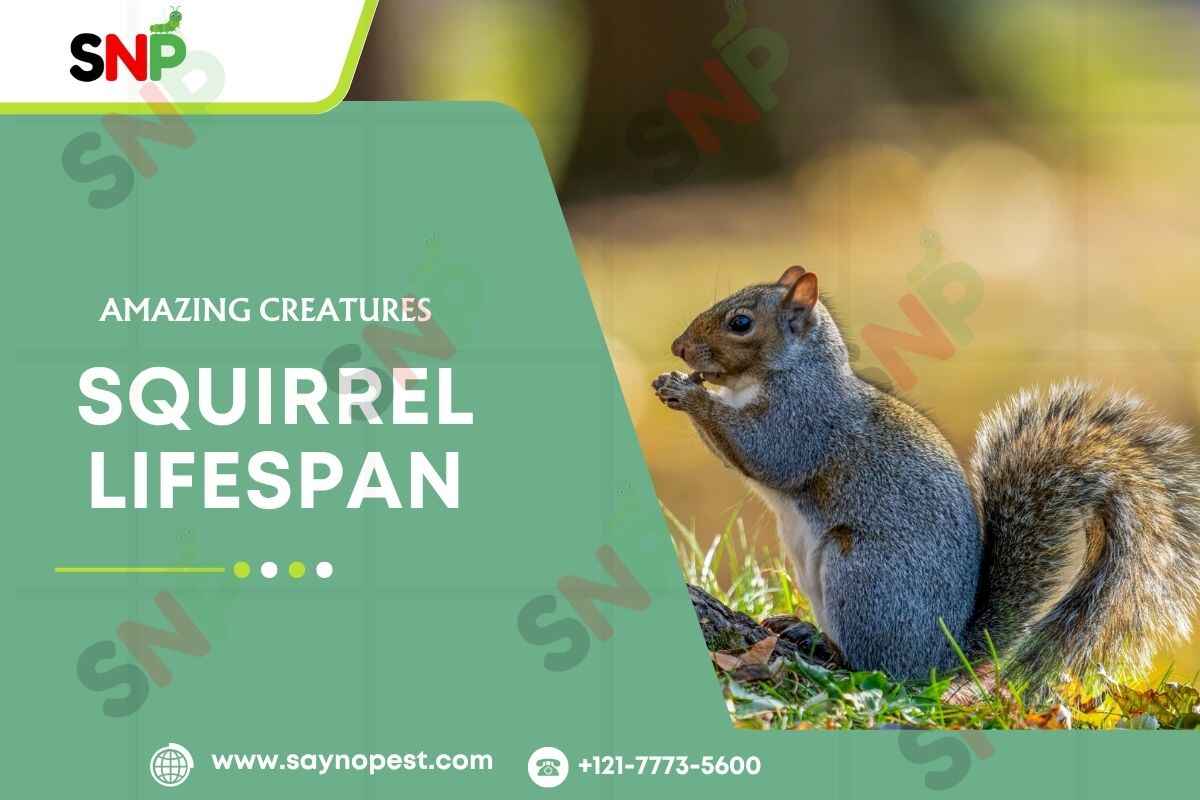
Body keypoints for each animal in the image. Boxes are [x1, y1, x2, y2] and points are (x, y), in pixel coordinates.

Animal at [653, 265, 1200, 696]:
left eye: (741, 323)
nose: (679, 347)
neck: (788, 371)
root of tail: (940, 660)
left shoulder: (805, 419)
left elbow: (765, 454)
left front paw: (689, 394)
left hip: (864, 577)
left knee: (879, 668)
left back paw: (825, 647)